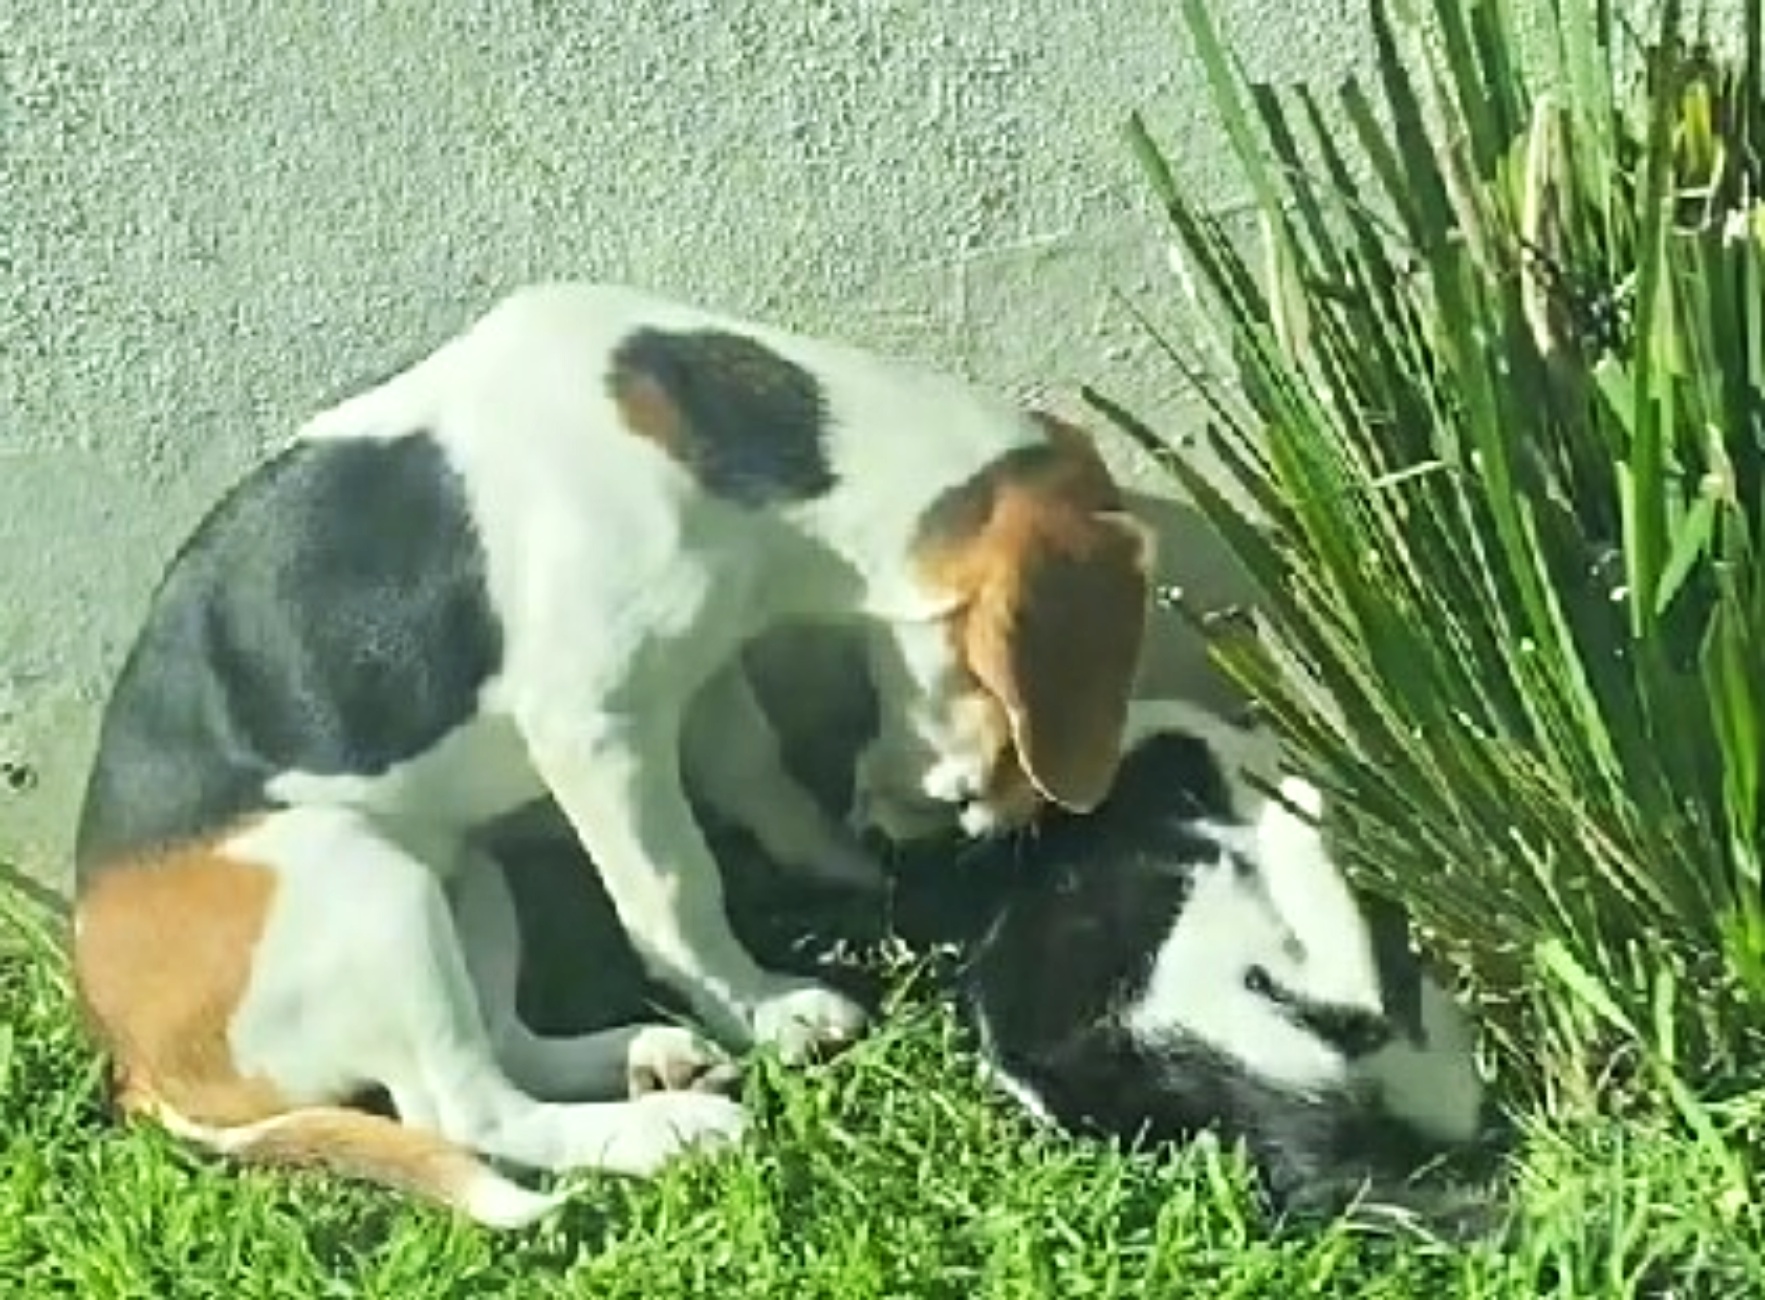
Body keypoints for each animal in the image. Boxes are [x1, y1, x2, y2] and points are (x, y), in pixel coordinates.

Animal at [68, 282, 1150, 1227]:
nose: (1047, 819)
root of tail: (136, 1062)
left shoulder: (700, 671)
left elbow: (759, 775)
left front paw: (832, 869)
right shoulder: (600, 729)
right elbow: (677, 890)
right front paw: (761, 1009)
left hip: (462, 875)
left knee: (501, 1042)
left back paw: (648, 1058)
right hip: (363, 883)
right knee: (462, 1107)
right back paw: (664, 1130)